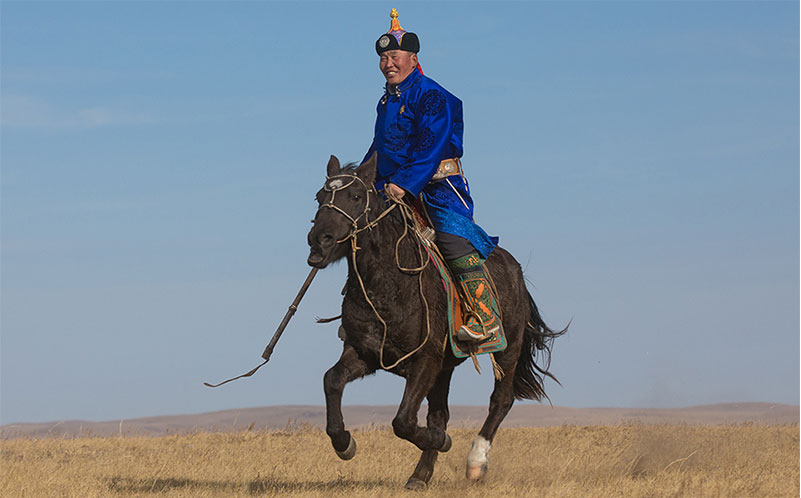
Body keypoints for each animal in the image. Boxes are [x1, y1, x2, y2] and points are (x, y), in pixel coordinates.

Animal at [306, 153, 565, 489]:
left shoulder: (425, 360)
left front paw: (442, 441)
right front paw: (344, 443)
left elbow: (403, 421)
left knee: (501, 400)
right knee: (440, 413)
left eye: (355, 196)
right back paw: (420, 475)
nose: (319, 241)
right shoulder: (365, 353)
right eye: (319, 197)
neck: (389, 284)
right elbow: (332, 380)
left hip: (507, 348)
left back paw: (475, 462)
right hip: (445, 367)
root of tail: (516, 270)